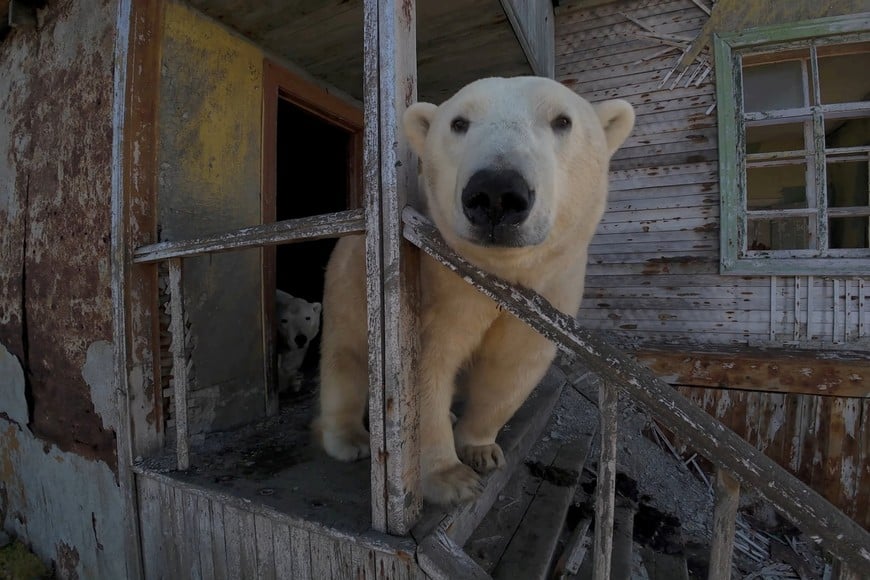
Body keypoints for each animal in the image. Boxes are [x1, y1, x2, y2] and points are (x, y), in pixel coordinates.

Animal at [316, 76, 634, 505]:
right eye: (459, 122)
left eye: (562, 120)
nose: (497, 192)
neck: (497, 272)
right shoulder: (438, 290)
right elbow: (425, 369)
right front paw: (452, 479)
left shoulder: (550, 290)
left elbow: (512, 367)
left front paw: (480, 450)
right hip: (347, 284)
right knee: (344, 358)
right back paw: (350, 439)